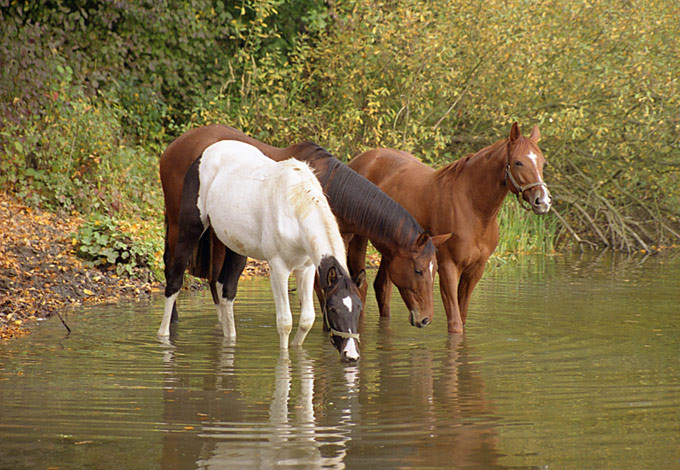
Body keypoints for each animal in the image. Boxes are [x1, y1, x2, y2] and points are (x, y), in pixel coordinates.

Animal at [157, 140, 364, 364]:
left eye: (359, 308)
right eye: (333, 309)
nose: (351, 355)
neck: (294, 206)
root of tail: (207, 151)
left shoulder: (307, 269)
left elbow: (307, 319)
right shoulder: (279, 269)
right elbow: (285, 322)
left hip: (235, 246)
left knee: (225, 289)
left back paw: (230, 338)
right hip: (188, 231)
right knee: (174, 281)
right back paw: (163, 336)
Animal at [159, 126, 452, 330]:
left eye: (434, 269)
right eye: (418, 270)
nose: (426, 319)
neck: (330, 188)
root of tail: (173, 146)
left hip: (225, 236)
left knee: (217, 282)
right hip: (180, 224)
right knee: (173, 267)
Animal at [346, 123, 552, 332]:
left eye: (542, 162)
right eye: (518, 162)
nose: (543, 201)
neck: (472, 208)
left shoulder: (475, 270)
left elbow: (462, 317)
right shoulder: (448, 267)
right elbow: (455, 323)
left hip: (391, 252)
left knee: (382, 289)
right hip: (358, 240)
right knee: (362, 287)